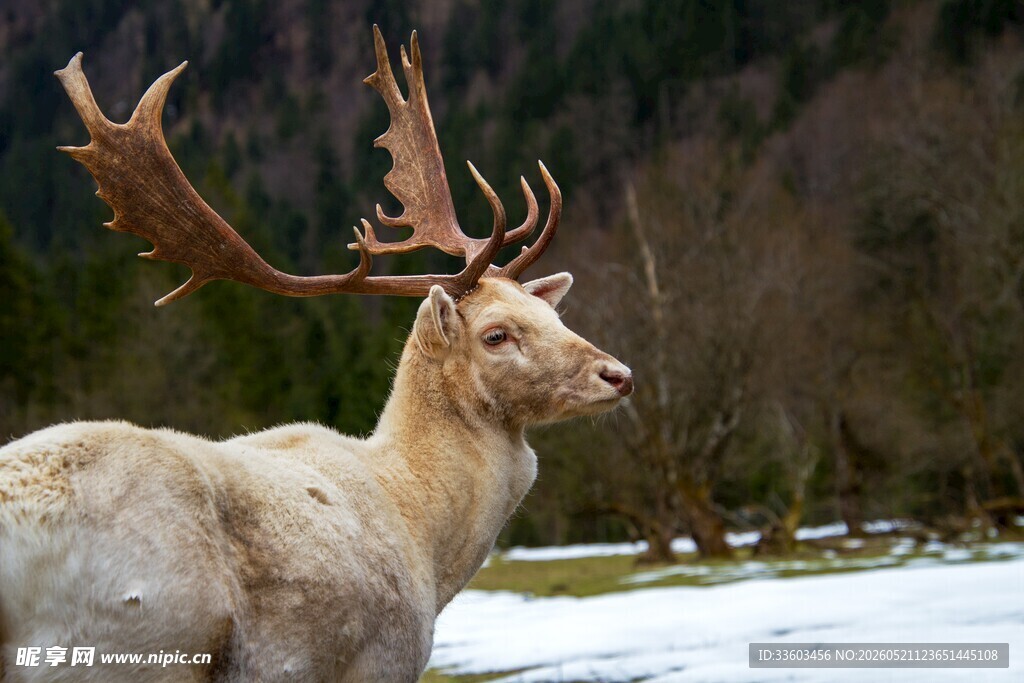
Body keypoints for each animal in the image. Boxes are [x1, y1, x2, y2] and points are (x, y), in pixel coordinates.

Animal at [0, 26, 632, 683]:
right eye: (496, 334)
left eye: (553, 314)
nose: (619, 374)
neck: (427, 545)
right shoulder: (383, 658)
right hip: (131, 640)